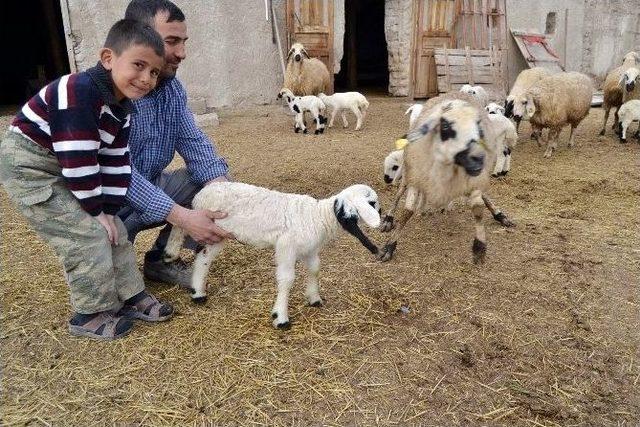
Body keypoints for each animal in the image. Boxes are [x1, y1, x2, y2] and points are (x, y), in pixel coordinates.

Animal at [162, 182, 382, 330]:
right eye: (372, 203)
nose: (385, 216)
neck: (318, 216)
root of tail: (201, 195)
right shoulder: (286, 247)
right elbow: (287, 279)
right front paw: (281, 316)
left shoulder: (310, 250)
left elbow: (315, 269)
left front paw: (314, 298)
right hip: (206, 222)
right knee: (182, 224)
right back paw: (171, 252)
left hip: (216, 234)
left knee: (203, 258)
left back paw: (198, 292)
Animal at [378, 94, 516, 264]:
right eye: (445, 126)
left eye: (478, 127)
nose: (478, 158)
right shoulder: (416, 176)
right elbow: (407, 212)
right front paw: (389, 246)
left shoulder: (473, 179)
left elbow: (478, 209)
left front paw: (479, 247)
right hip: (410, 171)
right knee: (399, 193)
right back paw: (389, 218)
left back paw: (499, 215)